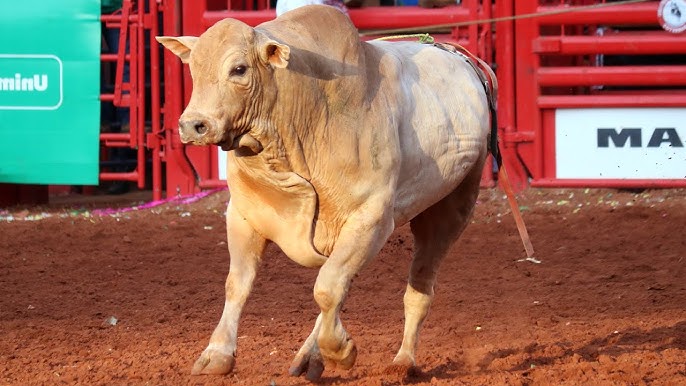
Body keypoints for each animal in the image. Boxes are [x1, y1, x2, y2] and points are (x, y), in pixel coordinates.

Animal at [158, 4, 494, 382]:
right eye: (194, 68)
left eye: (239, 69)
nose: (193, 125)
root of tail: (464, 60)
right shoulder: (244, 215)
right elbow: (239, 284)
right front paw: (216, 354)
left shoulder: (370, 219)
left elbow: (327, 287)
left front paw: (341, 351)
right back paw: (311, 356)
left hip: (451, 206)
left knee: (416, 288)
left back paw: (402, 361)